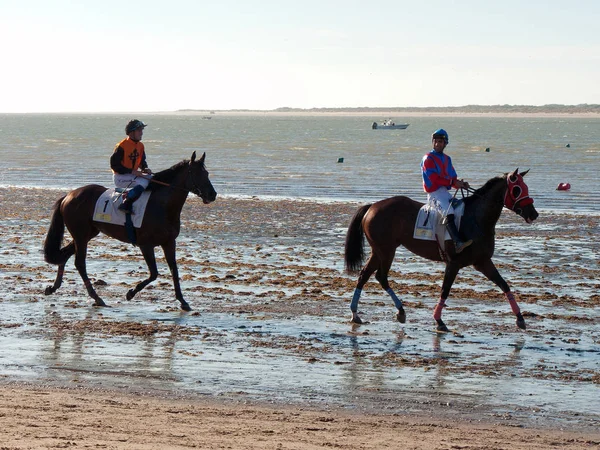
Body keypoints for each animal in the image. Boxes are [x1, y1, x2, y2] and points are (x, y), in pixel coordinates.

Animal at [45, 151, 218, 310]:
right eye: (197, 173)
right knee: (80, 263)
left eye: (207, 173)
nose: (212, 194)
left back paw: (53, 287)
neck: (162, 205)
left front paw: (183, 301)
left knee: (64, 254)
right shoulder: (145, 245)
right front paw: (131, 292)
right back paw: (96, 297)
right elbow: (154, 273)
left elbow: (174, 270)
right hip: (81, 235)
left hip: (87, 234)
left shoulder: (169, 242)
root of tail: (69, 195)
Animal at [342, 169, 540, 330]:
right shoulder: (453, 263)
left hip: (379, 251)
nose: (534, 213)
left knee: (365, 275)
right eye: (517, 189)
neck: (475, 219)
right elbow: (445, 289)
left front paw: (520, 318)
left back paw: (356, 314)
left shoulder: (482, 261)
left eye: (525, 187)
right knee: (381, 277)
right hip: (386, 250)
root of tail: (372, 206)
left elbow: (504, 284)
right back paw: (399, 311)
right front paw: (438, 320)